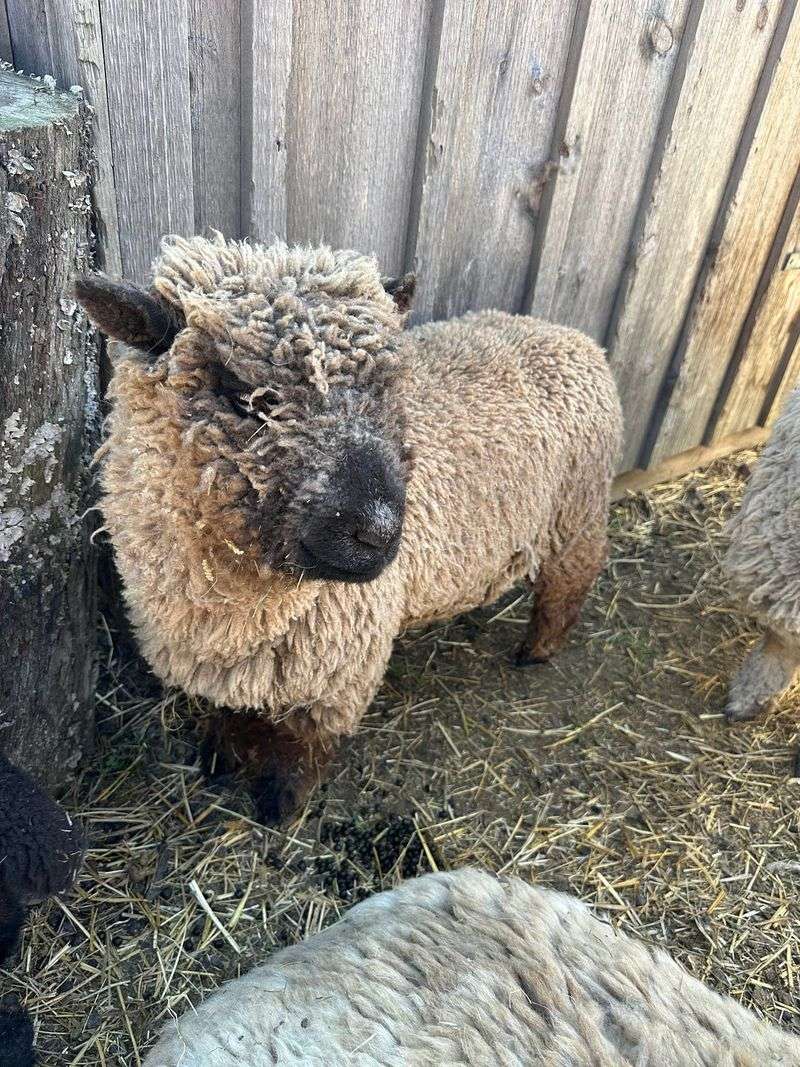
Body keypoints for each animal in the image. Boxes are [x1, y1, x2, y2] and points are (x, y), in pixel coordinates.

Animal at [75, 232, 622, 824]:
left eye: (387, 387)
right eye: (240, 393)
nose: (379, 531)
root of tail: (573, 337)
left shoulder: (339, 668)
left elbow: (301, 743)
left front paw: (280, 806)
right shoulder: (229, 664)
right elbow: (233, 714)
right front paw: (220, 762)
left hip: (578, 514)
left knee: (569, 583)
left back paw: (537, 650)